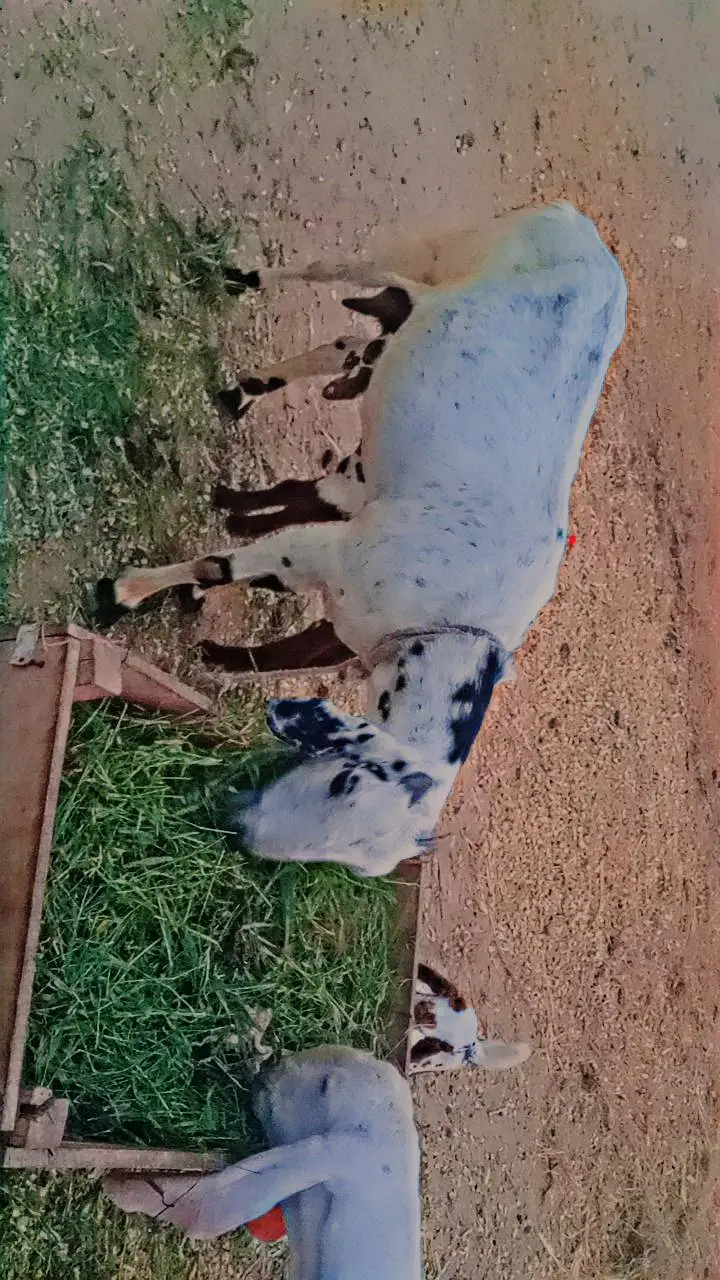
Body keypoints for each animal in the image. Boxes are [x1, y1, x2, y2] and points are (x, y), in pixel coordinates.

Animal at [99, 200, 627, 878]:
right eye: (343, 780)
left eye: (355, 865)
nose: (244, 832)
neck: (451, 625)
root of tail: (583, 230)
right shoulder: (325, 555)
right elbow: (222, 566)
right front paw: (126, 591)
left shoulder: (346, 609)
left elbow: (282, 651)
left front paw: (213, 650)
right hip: (436, 248)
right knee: (337, 270)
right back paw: (241, 277)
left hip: (410, 312)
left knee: (363, 331)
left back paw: (245, 390)